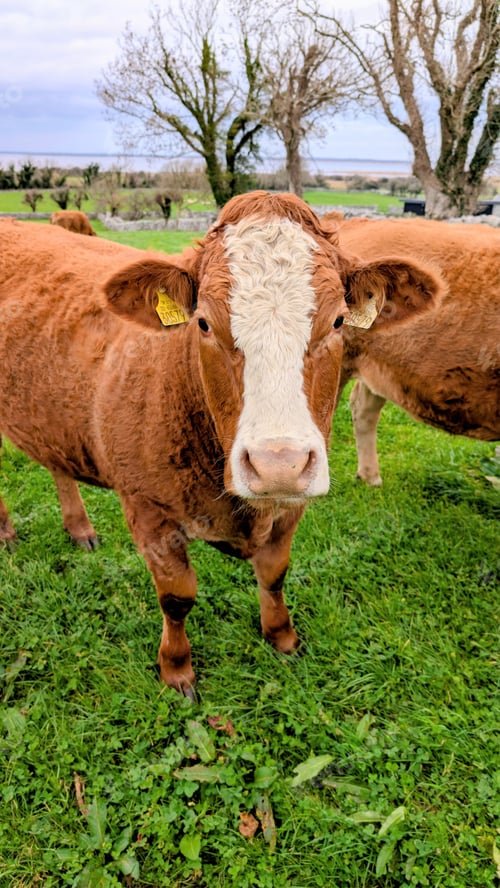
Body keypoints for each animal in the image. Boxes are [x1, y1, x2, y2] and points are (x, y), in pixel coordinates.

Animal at [0, 193, 441, 694]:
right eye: (204, 324)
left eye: (338, 321)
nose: (278, 464)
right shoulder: (147, 508)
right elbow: (177, 596)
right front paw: (176, 667)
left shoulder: (292, 505)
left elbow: (274, 573)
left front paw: (282, 635)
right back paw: (7, 531)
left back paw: (79, 528)